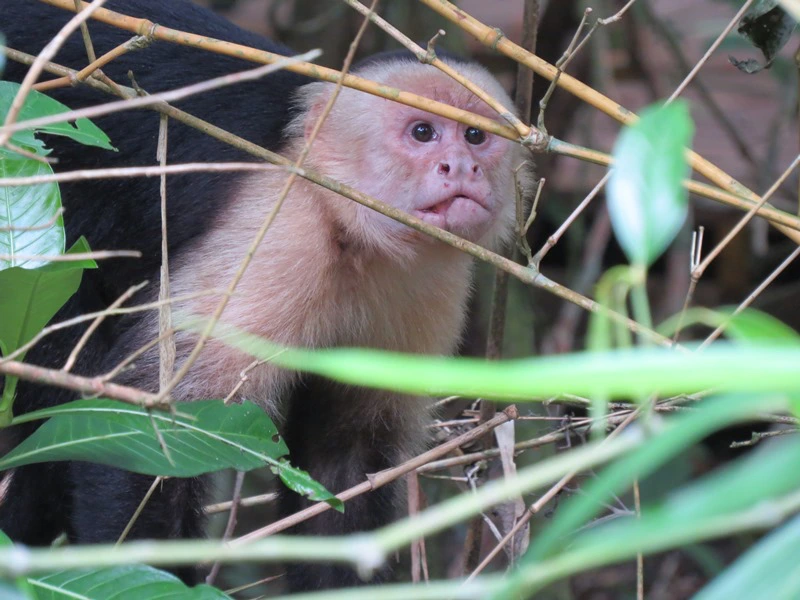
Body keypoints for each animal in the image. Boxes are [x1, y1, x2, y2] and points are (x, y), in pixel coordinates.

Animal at [0, 0, 525, 591]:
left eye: (476, 136)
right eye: (422, 131)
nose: (463, 167)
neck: (353, 232)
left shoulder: (426, 282)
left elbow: (344, 457)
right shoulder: (280, 223)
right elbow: (149, 423)